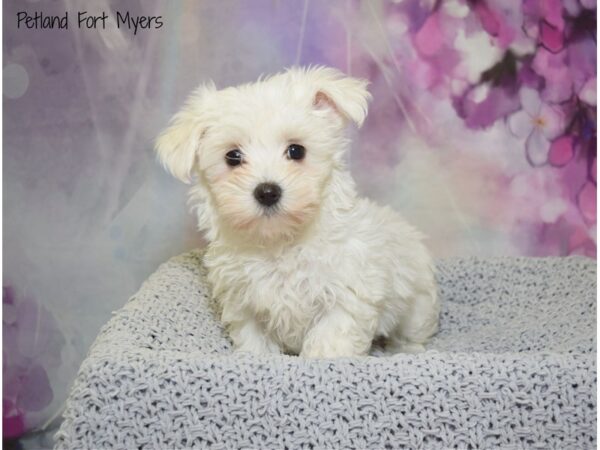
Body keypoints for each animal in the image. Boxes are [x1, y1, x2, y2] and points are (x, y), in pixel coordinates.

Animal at [157, 66, 440, 358]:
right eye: (232, 157)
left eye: (296, 150)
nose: (267, 191)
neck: (280, 242)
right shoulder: (244, 306)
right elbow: (255, 343)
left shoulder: (346, 296)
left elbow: (330, 342)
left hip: (417, 303)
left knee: (412, 332)